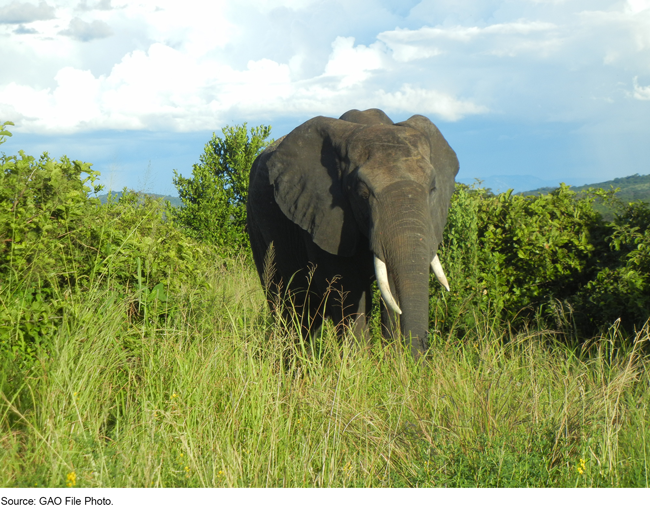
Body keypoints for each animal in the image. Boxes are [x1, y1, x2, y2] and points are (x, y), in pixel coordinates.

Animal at [244, 108, 456, 358]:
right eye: (362, 194)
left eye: (432, 188)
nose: (418, 363)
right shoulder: (324, 216)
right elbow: (347, 291)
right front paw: (360, 364)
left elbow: (392, 293)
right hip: (257, 224)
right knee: (291, 305)